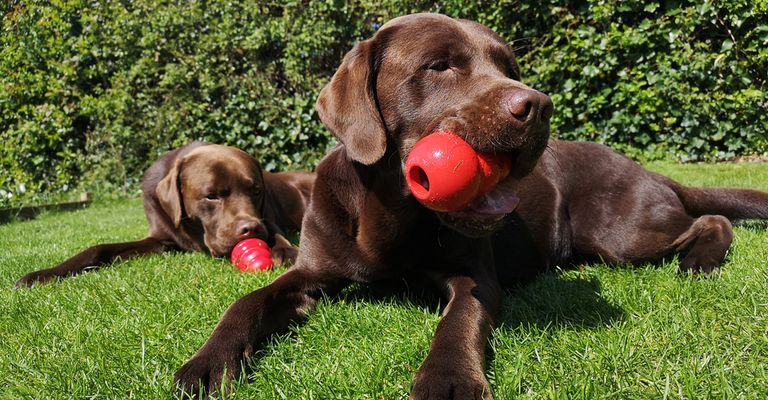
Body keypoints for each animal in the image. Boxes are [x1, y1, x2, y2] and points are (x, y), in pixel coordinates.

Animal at [13, 141, 312, 288]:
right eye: (211, 195)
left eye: (256, 190)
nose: (250, 229)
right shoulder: (160, 239)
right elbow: (98, 249)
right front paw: (40, 275)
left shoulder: (267, 217)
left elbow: (276, 232)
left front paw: (286, 252)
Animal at [174, 13, 768, 400]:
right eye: (439, 66)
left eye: (508, 66)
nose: (540, 106)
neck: (391, 215)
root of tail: (642, 166)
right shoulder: (309, 271)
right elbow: (247, 301)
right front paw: (206, 362)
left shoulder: (473, 277)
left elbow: (459, 320)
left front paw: (448, 379)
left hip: (620, 234)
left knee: (711, 218)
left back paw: (699, 261)